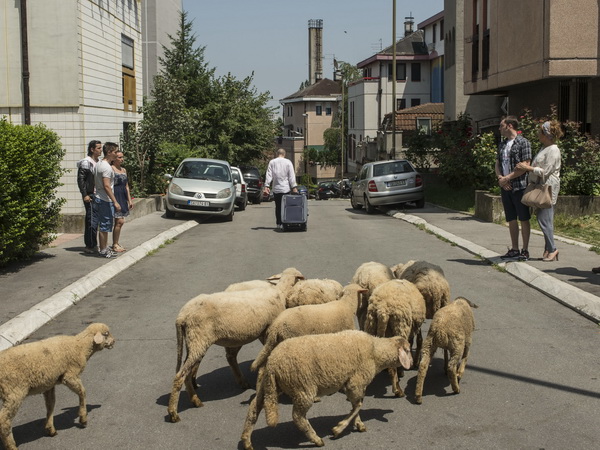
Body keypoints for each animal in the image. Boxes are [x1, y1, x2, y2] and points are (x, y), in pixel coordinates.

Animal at [166, 268, 302, 422]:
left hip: (199, 339)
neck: (279, 291)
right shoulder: (268, 329)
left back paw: (197, 399)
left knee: (193, 370)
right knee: (180, 375)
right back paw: (173, 413)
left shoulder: (263, 332)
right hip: (199, 339)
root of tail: (182, 316)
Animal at [239, 328, 412, 448]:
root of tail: (272, 363)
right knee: (297, 417)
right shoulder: (355, 382)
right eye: (409, 350)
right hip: (303, 388)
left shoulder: (351, 384)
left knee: (254, 407)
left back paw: (247, 441)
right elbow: (358, 405)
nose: (411, 364)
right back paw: (316, 439)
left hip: (270, 385)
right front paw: (338, 429)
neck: (376, 351)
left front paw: (358, 424)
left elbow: (356, 405)